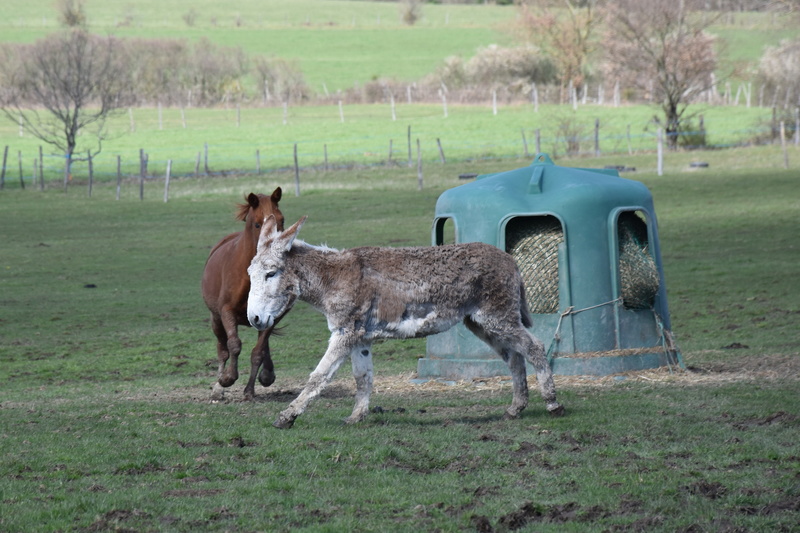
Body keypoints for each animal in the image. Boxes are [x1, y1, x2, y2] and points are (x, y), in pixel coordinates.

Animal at [202, 187, 286, 400]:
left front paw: (249, 390)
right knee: (222, 349)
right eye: (257, 224)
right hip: (216, 319)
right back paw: (218, 387)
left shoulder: (271, 316)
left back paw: (267, 373)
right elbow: (234, 345)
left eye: (282, 220)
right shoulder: (226, 311)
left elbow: (258, 352)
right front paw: (227, 379)